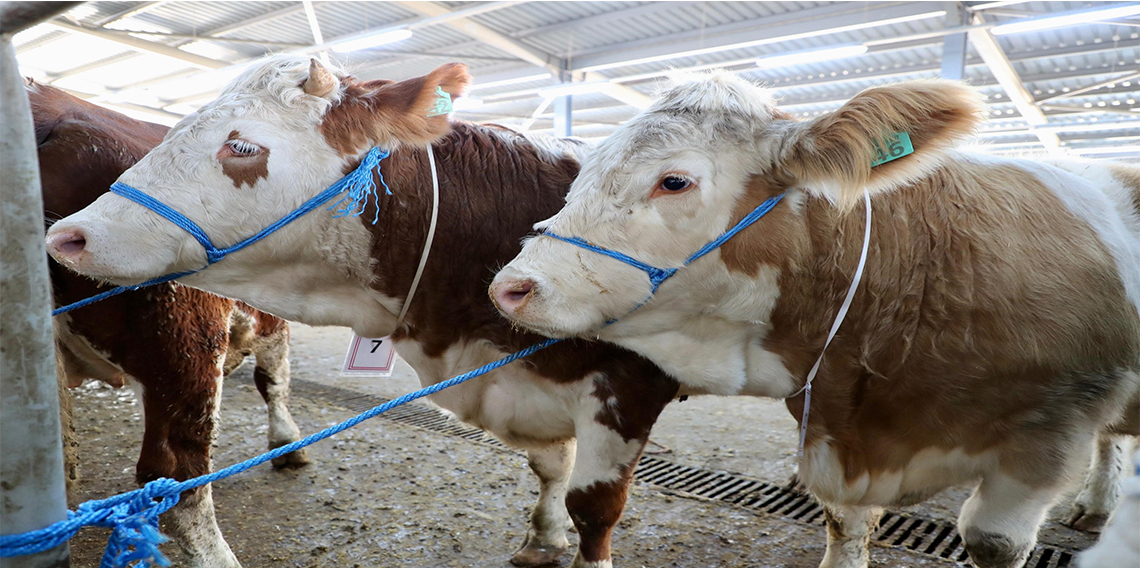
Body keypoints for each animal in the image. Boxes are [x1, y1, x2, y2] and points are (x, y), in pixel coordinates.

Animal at [494, 72, 1140, 565]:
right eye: (581, 175)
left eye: (674, 181)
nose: (511, 288)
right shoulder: (834, 424)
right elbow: (846, 525)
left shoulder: (1045, 440)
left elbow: (994, 541)